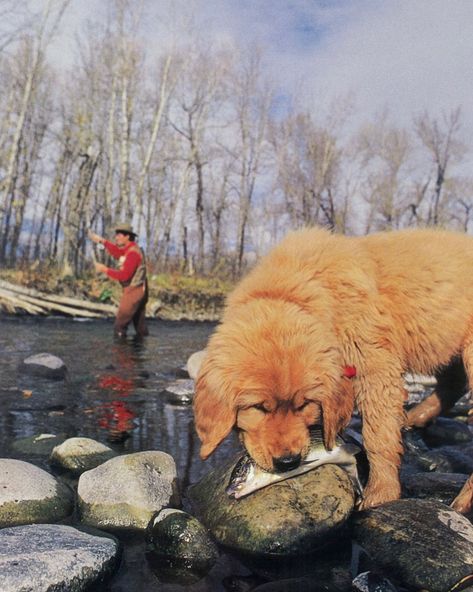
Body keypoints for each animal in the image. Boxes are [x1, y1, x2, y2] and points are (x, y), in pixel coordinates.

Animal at [193, 228, 472, 508]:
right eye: (259, 407)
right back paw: (415, 417)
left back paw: (462, 500)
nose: (288, 462)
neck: (295, 292)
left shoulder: (376, 366)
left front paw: (381, 492)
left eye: (304, 404)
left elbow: (378, 434)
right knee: (454, 383)